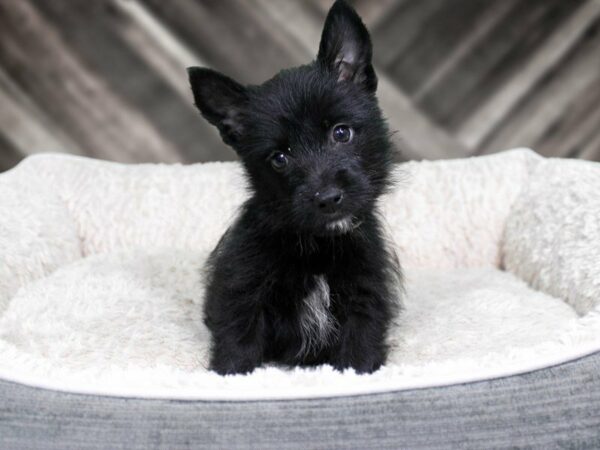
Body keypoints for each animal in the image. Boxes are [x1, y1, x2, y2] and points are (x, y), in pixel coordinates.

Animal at [190, 0, 400, 374]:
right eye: (279, 158)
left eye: (341, 132)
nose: (328, 198)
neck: (318, 247)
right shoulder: (242, 294)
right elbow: (236, 350)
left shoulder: (365, 300)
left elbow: (359, 356)